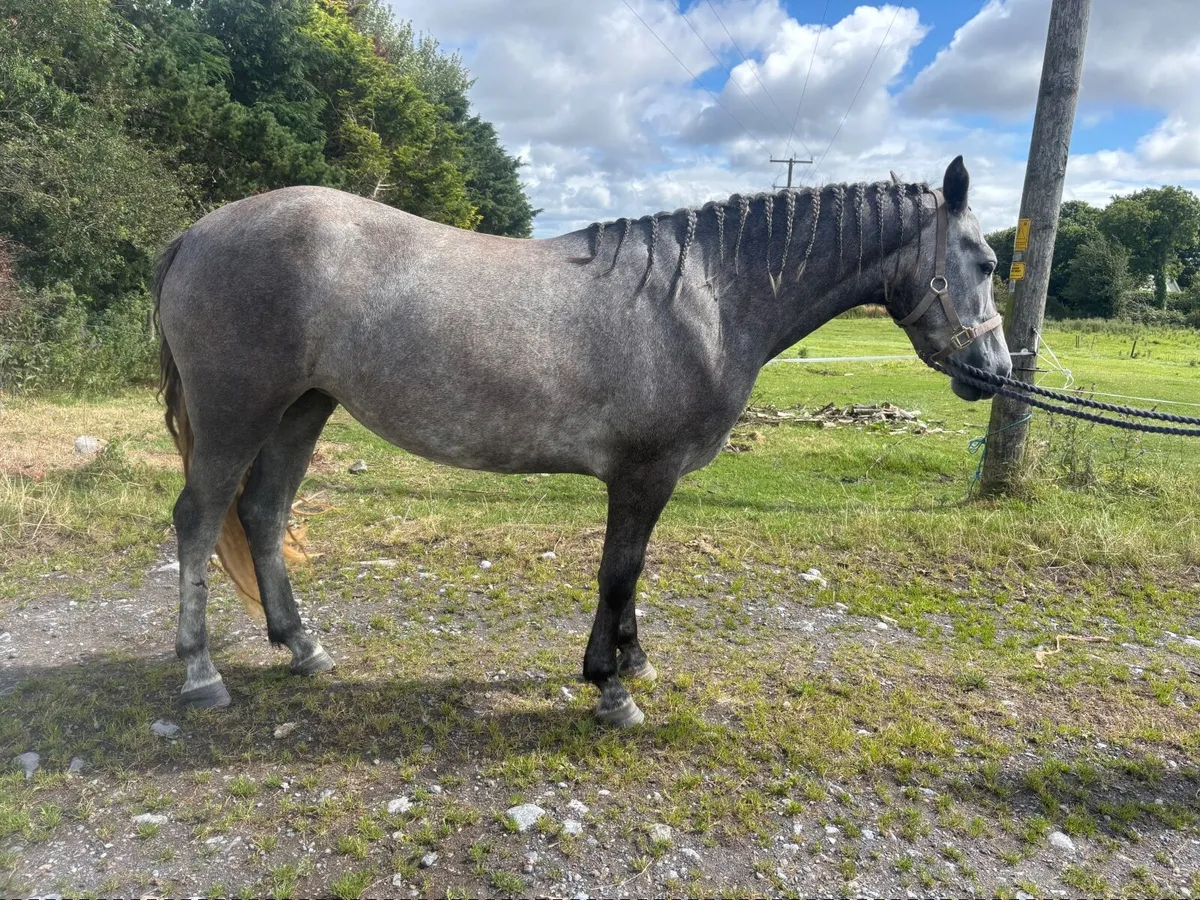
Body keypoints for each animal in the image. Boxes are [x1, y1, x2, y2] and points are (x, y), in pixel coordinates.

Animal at [155, 155, 1009, 727]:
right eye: (987, 260)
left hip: (304, 409)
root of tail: (196, 232)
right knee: (199, 519)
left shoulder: (644, 479)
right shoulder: (643, 474)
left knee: (262, 513)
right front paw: (612, 687)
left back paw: (303, 647)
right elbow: (618, 571)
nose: (998, 372)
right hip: (239, 412)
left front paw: (633, 660)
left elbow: (629, 574)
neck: (705, 298)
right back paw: (200, 674)